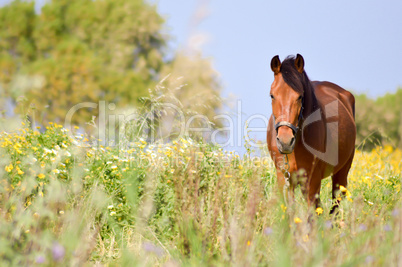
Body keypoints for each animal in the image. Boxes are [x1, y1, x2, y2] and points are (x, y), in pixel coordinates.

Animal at [266, 55, 354, 214]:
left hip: (342, 173)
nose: (285, 141)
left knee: (335, 205)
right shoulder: (284, 178)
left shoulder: (312, 180)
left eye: (300, 96)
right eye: (272, 95)